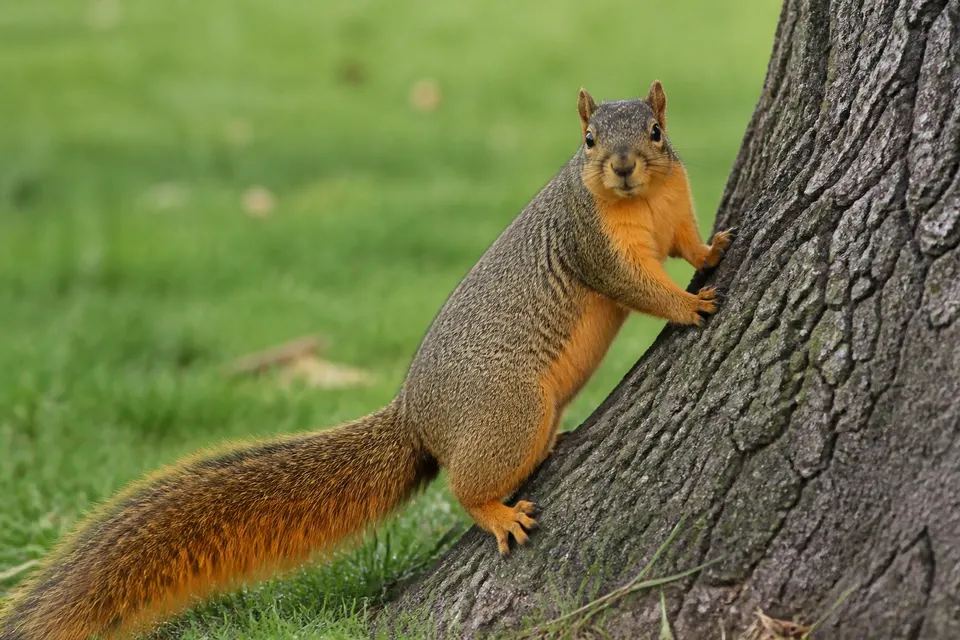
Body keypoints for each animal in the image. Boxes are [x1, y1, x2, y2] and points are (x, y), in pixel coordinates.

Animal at [0, 80, 732, 640]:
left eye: (657, 131)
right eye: (587, 142)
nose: (622, 166)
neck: (642, 200)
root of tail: (416, 416)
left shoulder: (672, 211)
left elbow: (686, 244)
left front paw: (714, 249)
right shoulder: (592, 243)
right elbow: (637, 285)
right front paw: (688, 304)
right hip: (509, 406)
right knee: (465, 485)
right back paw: (497, 512)